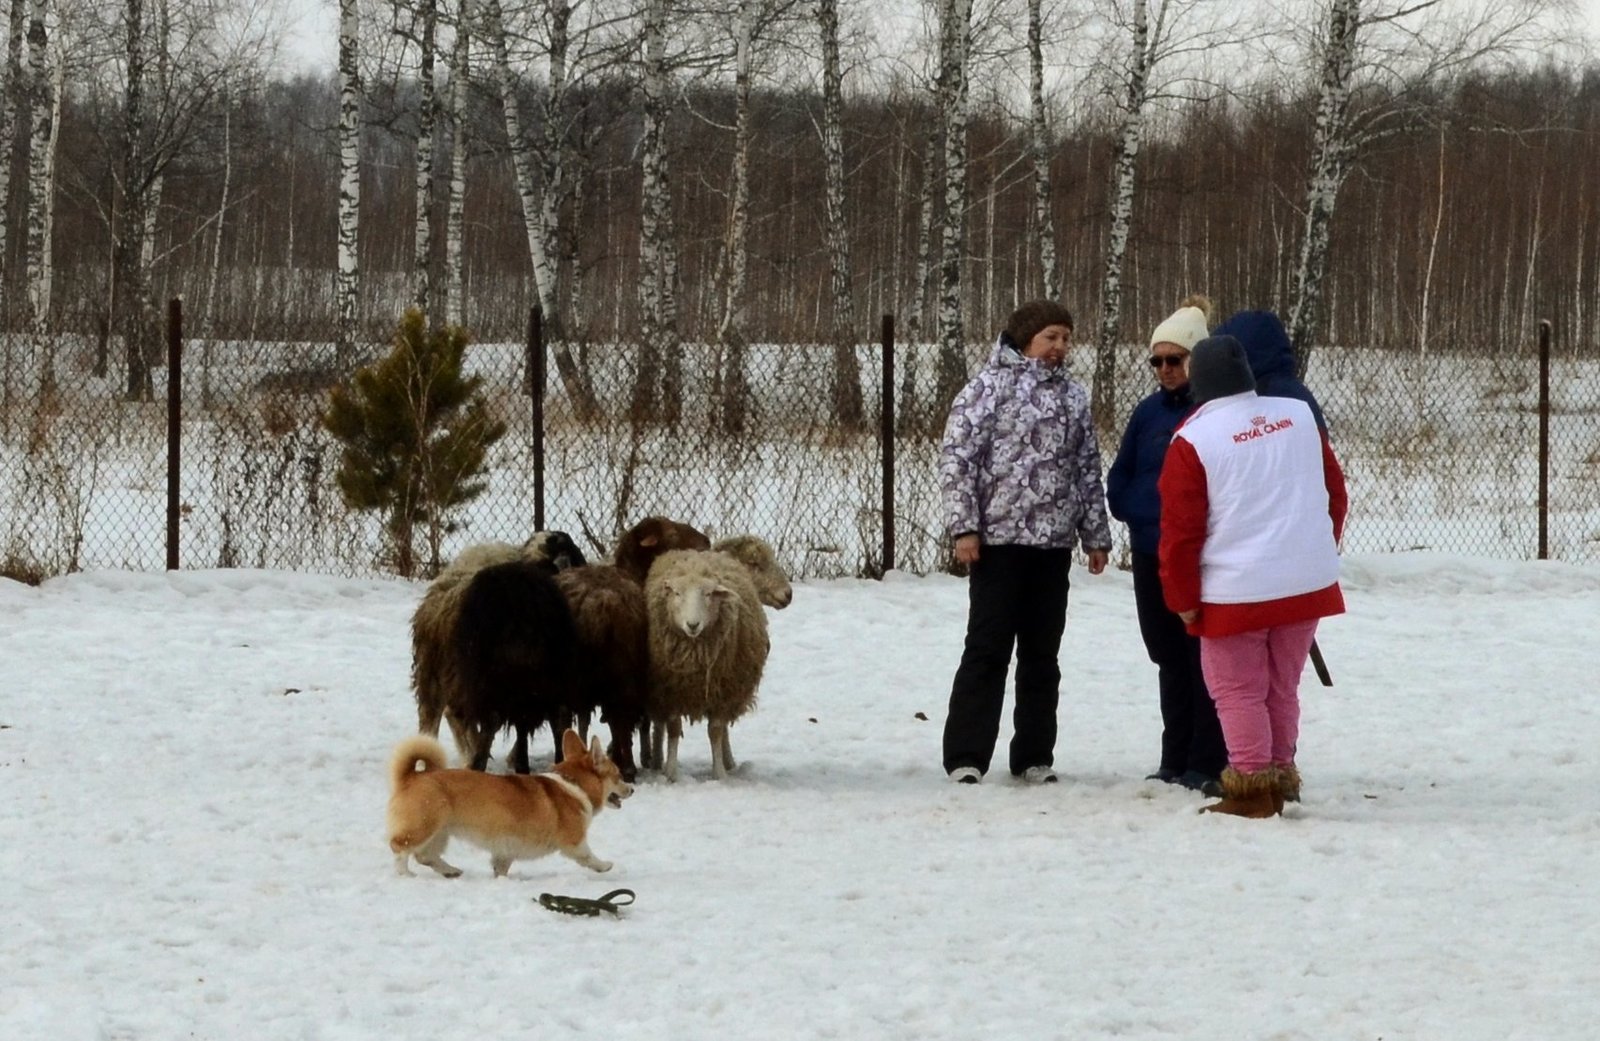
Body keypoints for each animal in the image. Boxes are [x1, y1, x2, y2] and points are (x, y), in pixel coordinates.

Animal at [385, 732, 630, 882]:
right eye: (618, 775)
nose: (631, 790)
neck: (574, 784)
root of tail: (410, 777)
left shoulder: (505, 851)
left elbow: (500, 867)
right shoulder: (574, 841)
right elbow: (588, 856)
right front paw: (604, 865)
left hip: (440, 832)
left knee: (425, 856)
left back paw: (451, 871)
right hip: (425, 825)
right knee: (400, 847)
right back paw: (406, 875)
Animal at [649, 546, 774, 780]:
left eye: (708, 594)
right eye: (677, 593)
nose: (693, 624)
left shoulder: (721, 692)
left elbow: (715, 731)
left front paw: (719, 773)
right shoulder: (670, 691)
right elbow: (673, 728)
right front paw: (671, 772)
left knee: (724, 730)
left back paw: (728, 762)